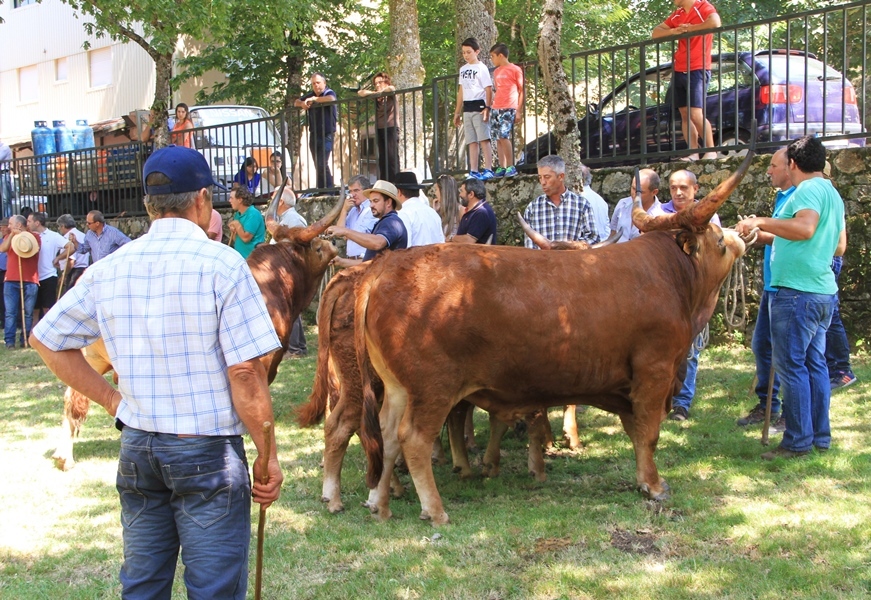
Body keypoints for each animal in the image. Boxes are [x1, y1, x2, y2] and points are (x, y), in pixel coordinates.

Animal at [358, 151, 760, 524]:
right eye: (718, 240)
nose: (740, 235)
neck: (671, 275)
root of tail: (385, 271)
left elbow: (635, 430)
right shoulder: (654, 371)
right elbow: (648, 432)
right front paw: (654, 485)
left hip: (398, 388)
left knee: (387, 435)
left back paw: (379, 503)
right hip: (432, 389)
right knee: (413, 439)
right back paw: (435, 509)